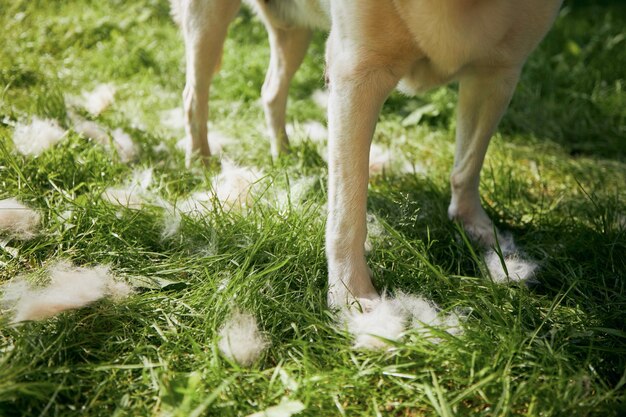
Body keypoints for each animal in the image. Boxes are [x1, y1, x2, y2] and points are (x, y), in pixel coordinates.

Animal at [171, 0, 560, 306]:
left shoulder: (498, 74)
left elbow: (468, 163)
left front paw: (476, 227)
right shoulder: (356, 73)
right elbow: (347, 210)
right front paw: (351, 295)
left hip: (292, 30)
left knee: (271, 91)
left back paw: (283, 154)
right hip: (209, 17)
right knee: (194, 94)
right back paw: (201, 162)